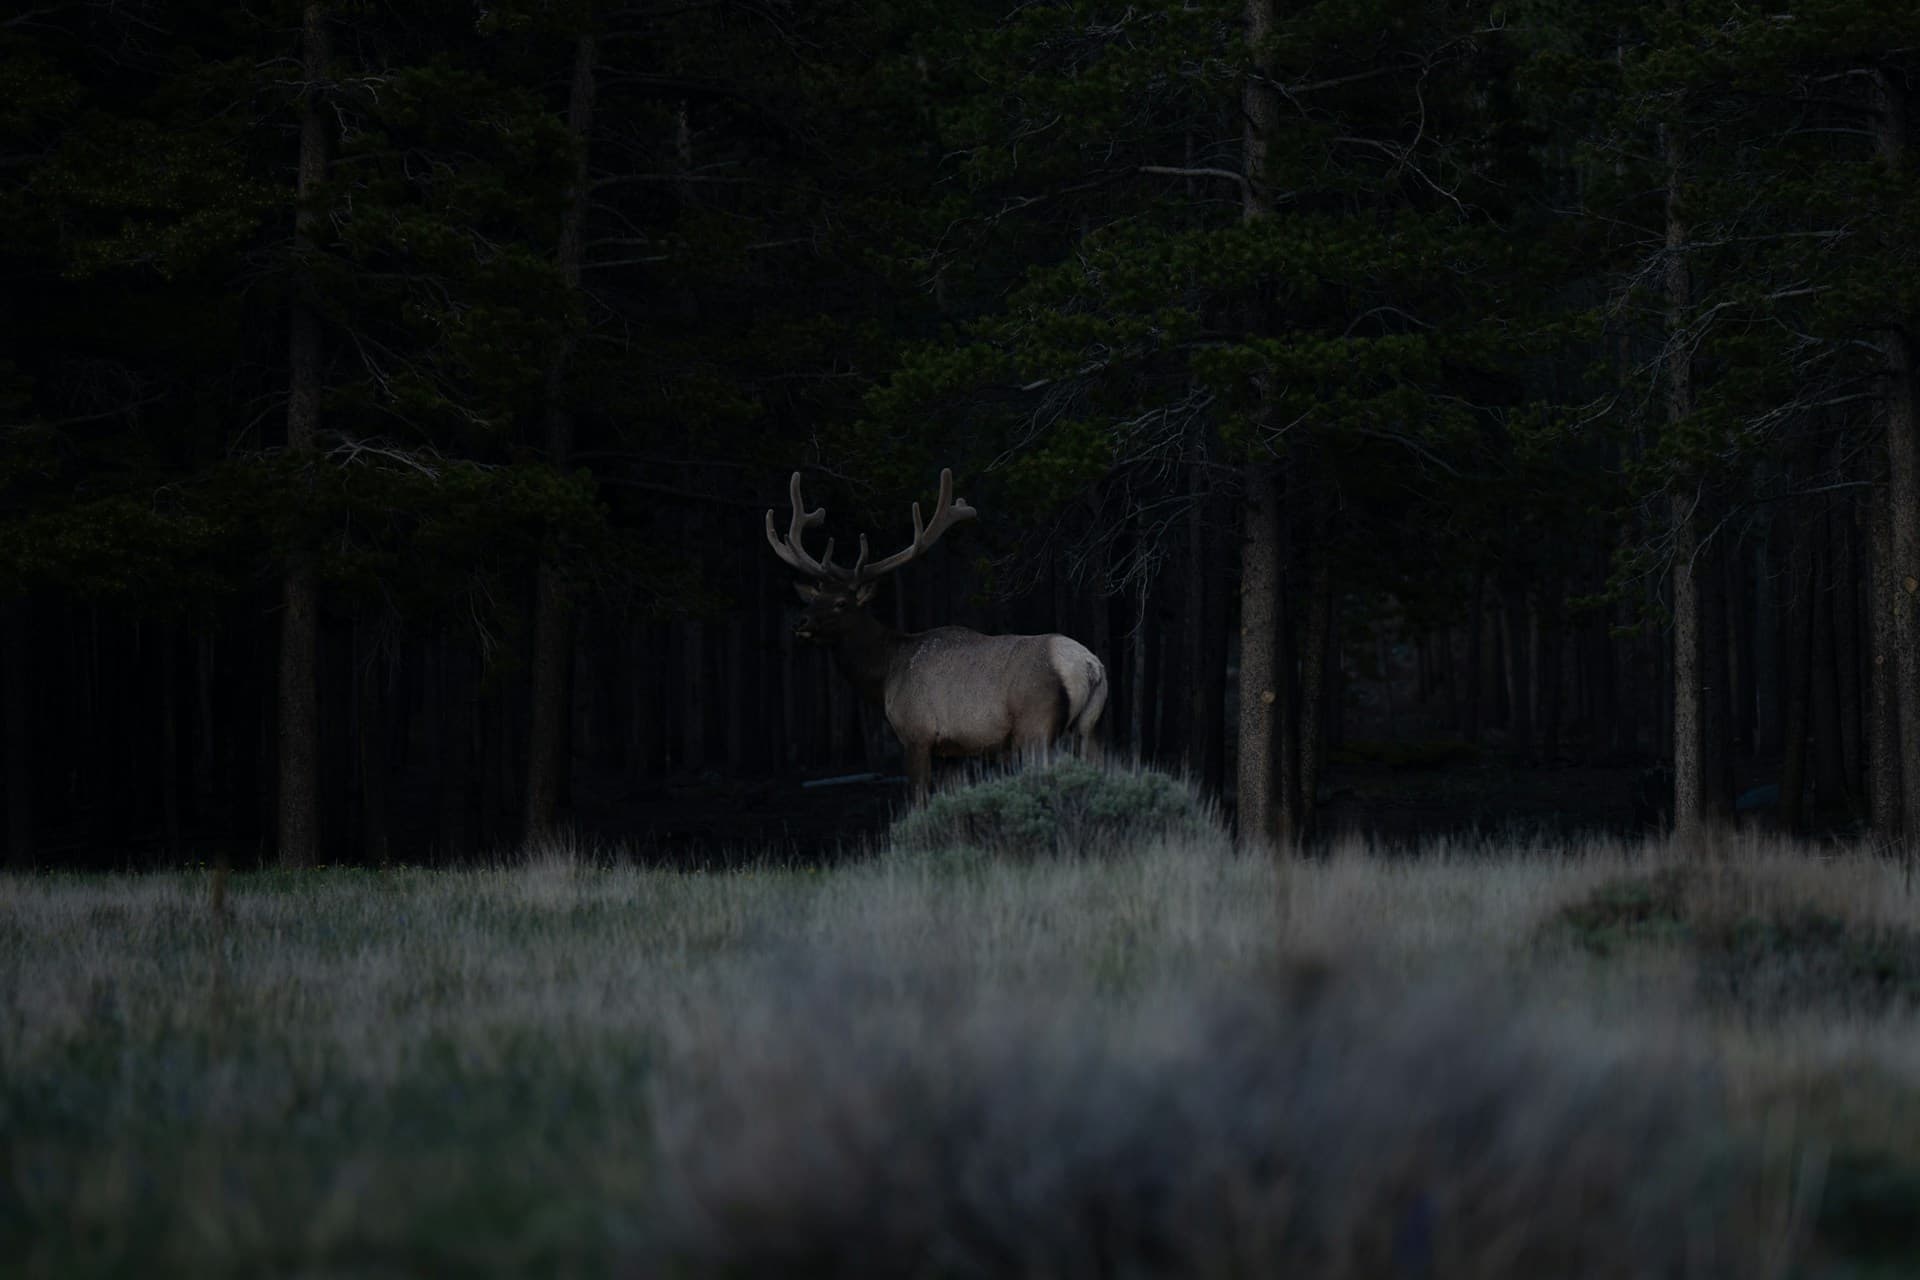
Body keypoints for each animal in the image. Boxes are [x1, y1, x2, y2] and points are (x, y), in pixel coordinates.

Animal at [766, 468, 1108, 803]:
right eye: (813, 599)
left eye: (841, 603)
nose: (800, 623)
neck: (886, 674)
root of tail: (1090, 667)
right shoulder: (955, 750)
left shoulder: (917, 733)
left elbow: (918, 800)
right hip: (1088, 727)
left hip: (1036, 725)